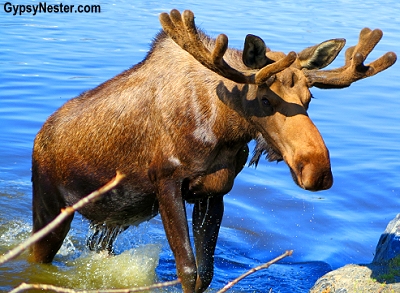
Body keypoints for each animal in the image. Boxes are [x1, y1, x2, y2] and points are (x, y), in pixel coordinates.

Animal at [28, 9, 396, 292]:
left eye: (310, 99)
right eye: (266, 99)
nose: (317, 170)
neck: (224, 129)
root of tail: (39, 137)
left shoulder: (214, 191)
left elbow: (205, 273)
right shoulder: (166, 182)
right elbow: (188, 271)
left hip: (109, 221)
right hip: (50, 205)